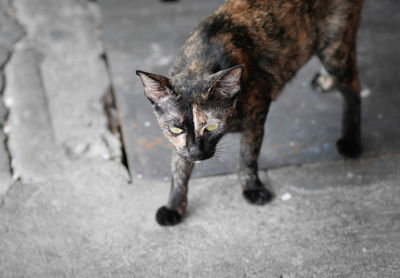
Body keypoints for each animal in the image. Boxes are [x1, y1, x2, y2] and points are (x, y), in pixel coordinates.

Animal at [136, 0, 364, 226]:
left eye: (211, 126)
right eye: (175, 129)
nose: (196, 153)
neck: (200, 64)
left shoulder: (256, 118)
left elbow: (247, 157)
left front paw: (252, 188)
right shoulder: (178, 144)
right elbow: (178, 169)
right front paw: (173, 205)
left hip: (335, 49)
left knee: (353, 90)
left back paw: (351, 141)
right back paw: (326, 81)